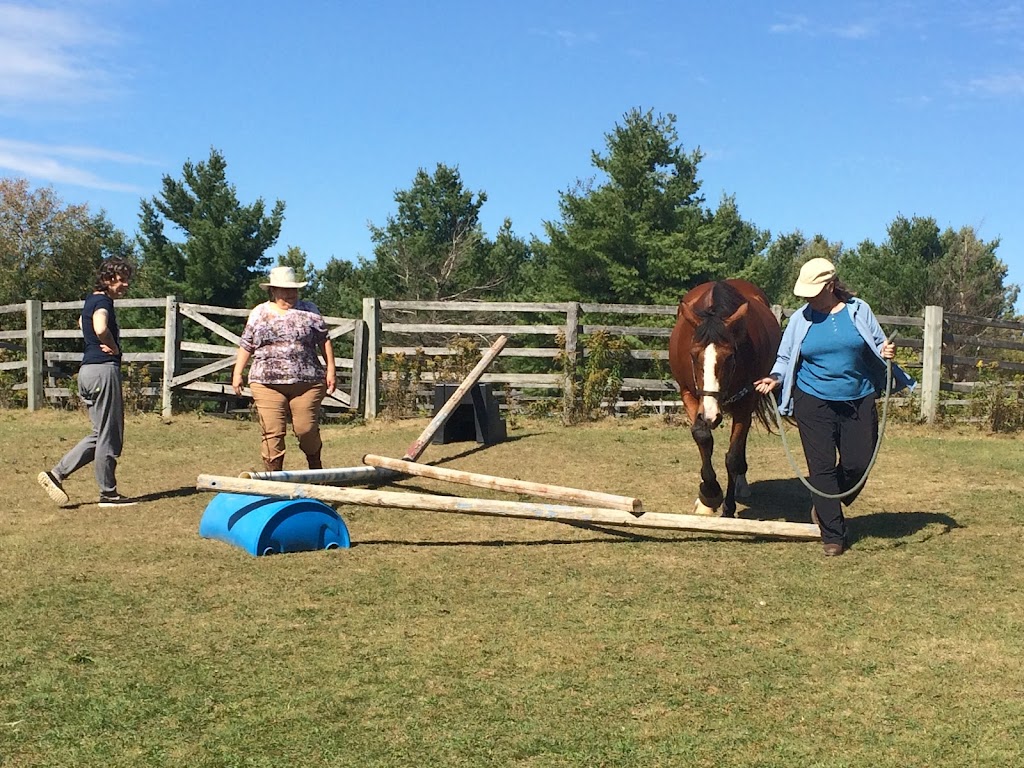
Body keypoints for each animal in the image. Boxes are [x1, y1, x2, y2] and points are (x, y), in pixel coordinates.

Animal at [667, 280, 778, 520]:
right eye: (693, 355)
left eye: (730, 356)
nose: (710, 415)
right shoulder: (690, 395)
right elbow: (702, 437)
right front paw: (709, 495)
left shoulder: (745, 402)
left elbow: (732, 457)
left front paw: (728, 507)